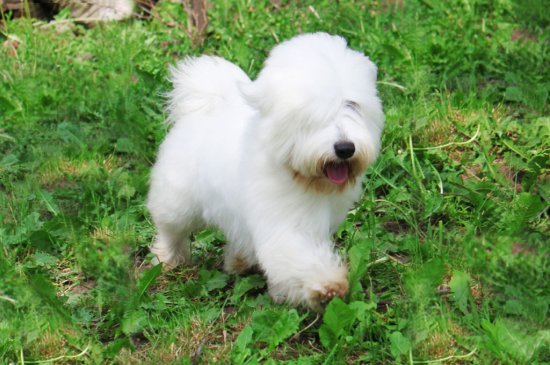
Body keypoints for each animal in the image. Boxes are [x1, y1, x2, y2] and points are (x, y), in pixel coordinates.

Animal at [149, 32, 386, 308]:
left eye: (352, 104)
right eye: (310, 112)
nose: (345, 148)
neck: (300, 176)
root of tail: (204, 106)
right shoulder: (283, 225)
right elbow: (295, 254)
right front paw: (326, 285)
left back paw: (238, 261)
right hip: (178, 200)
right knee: (171, 229)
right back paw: (169, 257)